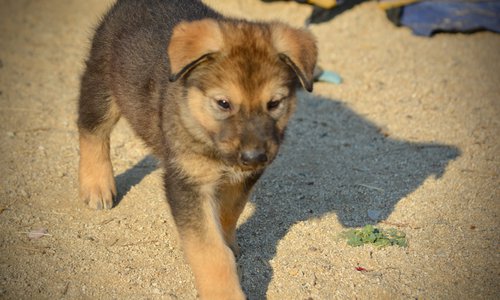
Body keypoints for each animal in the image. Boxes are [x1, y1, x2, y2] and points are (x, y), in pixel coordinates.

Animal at [78, 0, 316, 298]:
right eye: (223, 103)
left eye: (274, 104)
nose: (254, 158)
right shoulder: (188, 183)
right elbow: (211, 252)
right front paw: (224, 291)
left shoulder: (240, 180)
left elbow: (228, 214)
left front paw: (229, 243)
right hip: (101, 83)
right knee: (91, 130)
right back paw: (97, 185)